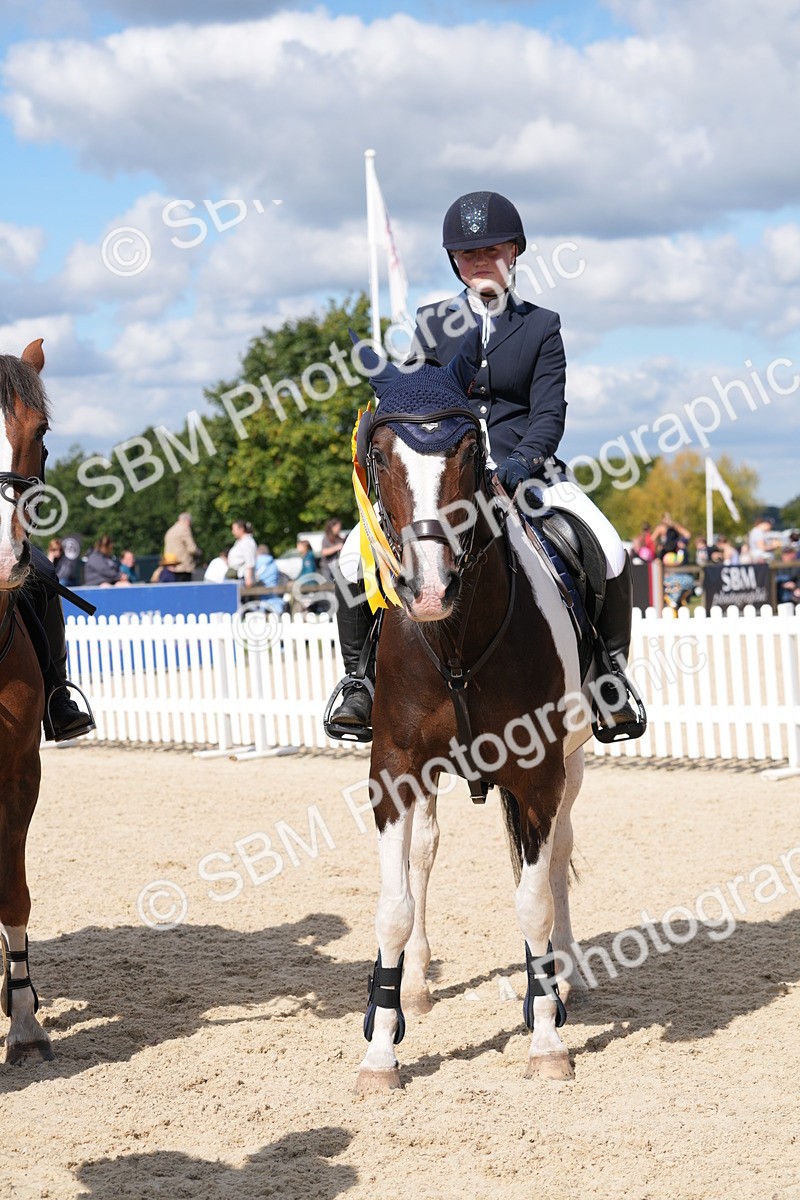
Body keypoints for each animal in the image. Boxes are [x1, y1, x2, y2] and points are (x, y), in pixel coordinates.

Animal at [351, 335, 597, 1092]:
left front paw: (546, 1039)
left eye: (469, 448)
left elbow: (535, 897)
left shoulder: (540, 772)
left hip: (572, 763)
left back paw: (563, 977)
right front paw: (381, 1048)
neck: (455, 636)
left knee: (555, 857)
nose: (430, 590)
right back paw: (418, 983)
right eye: (380, 455)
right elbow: (394, 907)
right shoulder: (394, 769)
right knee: (426, 855)